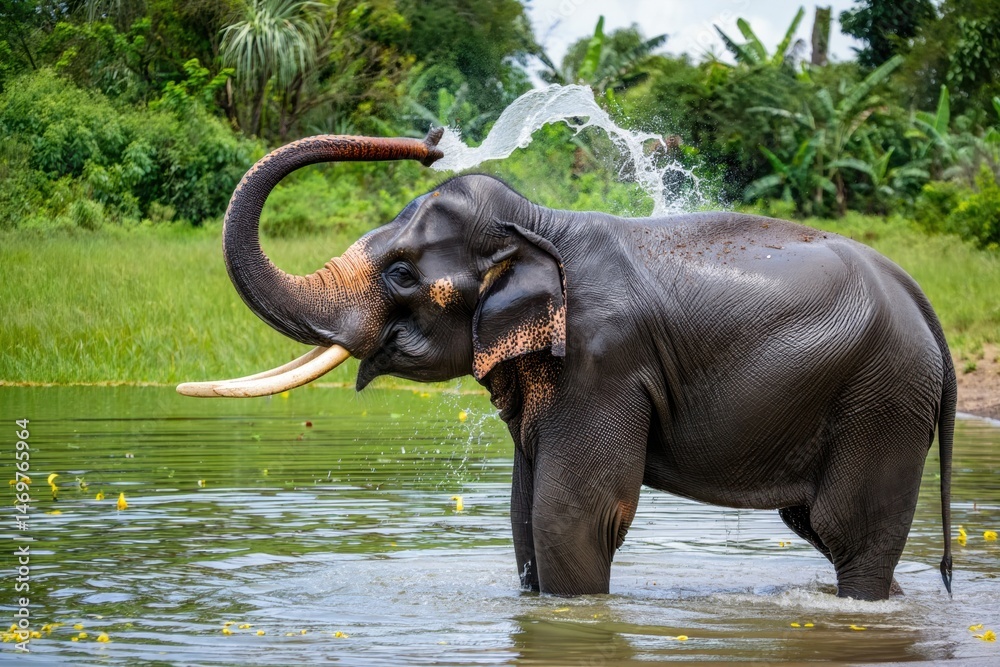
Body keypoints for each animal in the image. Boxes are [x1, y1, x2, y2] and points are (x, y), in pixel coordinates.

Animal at [178, 129, 955, 601]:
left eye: (401, 273)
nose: (430, 144)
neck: (540, 223)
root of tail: (925, 305)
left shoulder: (602, 362)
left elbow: (571, 515)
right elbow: (524, 512)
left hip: (883, 396)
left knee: (850, 529)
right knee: (821, 527)